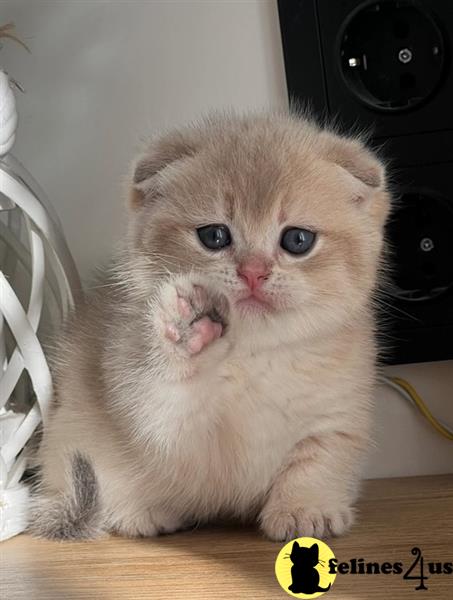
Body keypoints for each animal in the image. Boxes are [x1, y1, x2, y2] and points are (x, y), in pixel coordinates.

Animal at [29, 110, 388, 540]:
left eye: (298, 240)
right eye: (214, 236)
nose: (253, 272)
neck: (257, 356)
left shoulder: (335, 419)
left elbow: (315, 465)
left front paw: (304, 510)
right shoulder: (163, 418)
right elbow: (169, 401)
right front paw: (188, 330)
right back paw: (141, 512)